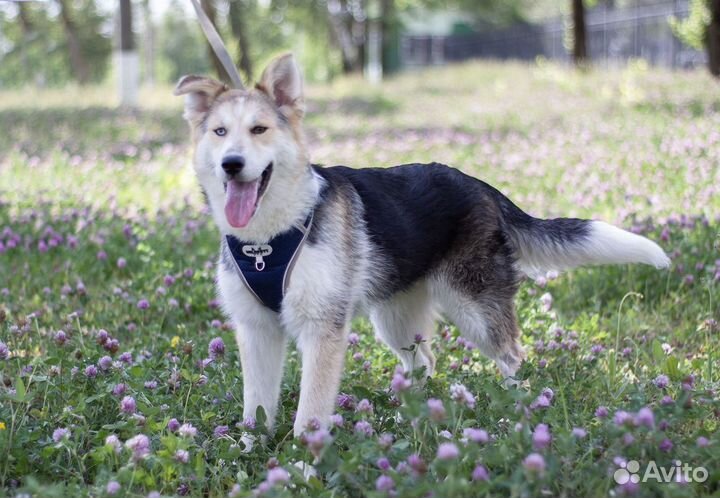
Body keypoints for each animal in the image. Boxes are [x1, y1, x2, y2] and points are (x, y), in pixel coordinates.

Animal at [174, 52, 668, 438]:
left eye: (259, 130)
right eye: (220, 132)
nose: (231, 164)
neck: (268, 239)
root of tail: (481, 186)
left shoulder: (322, 332)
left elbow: (308, 418)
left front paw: (301, 467)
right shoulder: (256, 332)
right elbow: (255, 411)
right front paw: (250, 454)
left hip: (475, 309)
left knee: (514, 359)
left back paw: (520, 414)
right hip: (395, 318)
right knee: (425, 362)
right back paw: (407, 416)